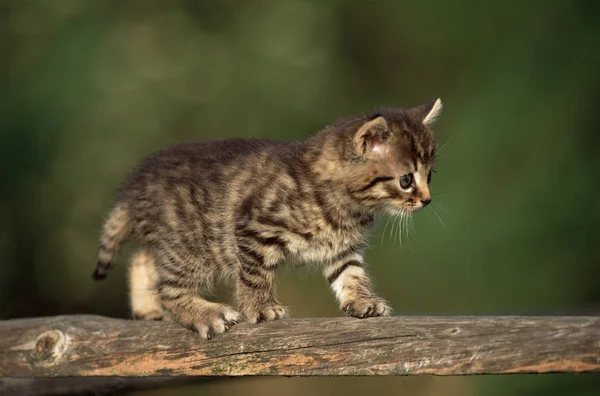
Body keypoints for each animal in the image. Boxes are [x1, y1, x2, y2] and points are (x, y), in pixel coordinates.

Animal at [92, 98, 440, 338]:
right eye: (406, 180)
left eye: (430, 176)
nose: (427, 200)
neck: (344, 204)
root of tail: (134, 183)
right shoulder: (251, 227)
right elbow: (253, 275)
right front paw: (260, 308)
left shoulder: (343, 247)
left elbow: (351, 274)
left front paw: (361, 301)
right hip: (190, 245)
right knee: (169, 287)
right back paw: (205, 314)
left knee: (142, 258)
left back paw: (147, 309)